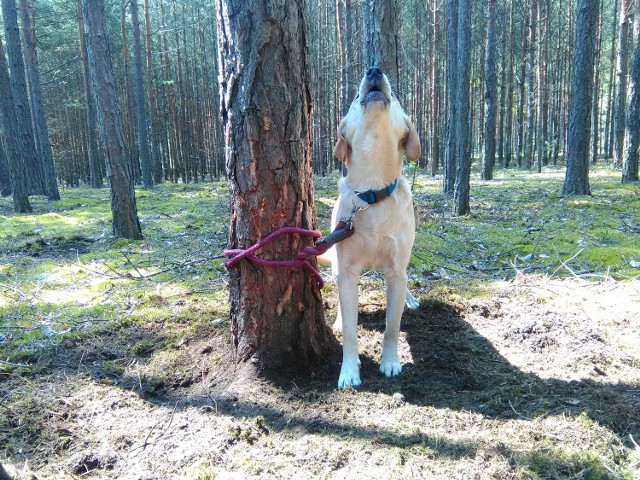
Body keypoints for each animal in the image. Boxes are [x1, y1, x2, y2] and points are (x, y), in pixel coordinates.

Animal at [330, 65, 420, 388]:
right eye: (355, 99)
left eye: (396, 99)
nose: (374, 69)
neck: (371, 194)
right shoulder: (346, 270)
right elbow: (350, 330)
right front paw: (348, 371)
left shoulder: (395, 268)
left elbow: (392, 326)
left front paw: (391, 362)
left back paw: (410, 299)